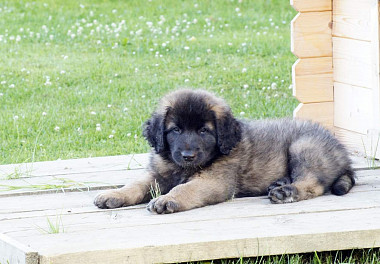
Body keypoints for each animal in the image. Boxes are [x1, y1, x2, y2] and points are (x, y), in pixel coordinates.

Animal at [93, 89, 354, 213]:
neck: (182, 168)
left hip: (304, 146)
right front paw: (115, 194)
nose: (188, 156)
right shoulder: (157, 173)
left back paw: (285, 191)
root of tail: (343, 152)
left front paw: (168, 199)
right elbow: (135, 184)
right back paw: (279, 183)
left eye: (204, 131)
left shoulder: (214, 180)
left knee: (313, 184)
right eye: (175, 130)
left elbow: (185, 188)